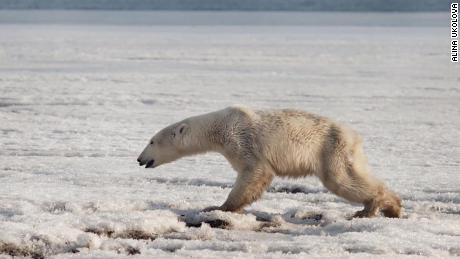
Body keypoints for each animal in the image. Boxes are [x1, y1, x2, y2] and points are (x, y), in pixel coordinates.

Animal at [136, 106, 398, 218]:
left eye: (151, 141)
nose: (139, 159)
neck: (219, 128)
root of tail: (354, 136)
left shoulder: (241, 139)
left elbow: (254, 172)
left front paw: (217, 207)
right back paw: (390, 206)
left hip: (331, 148)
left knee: (341, 179)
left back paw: (374, 207)